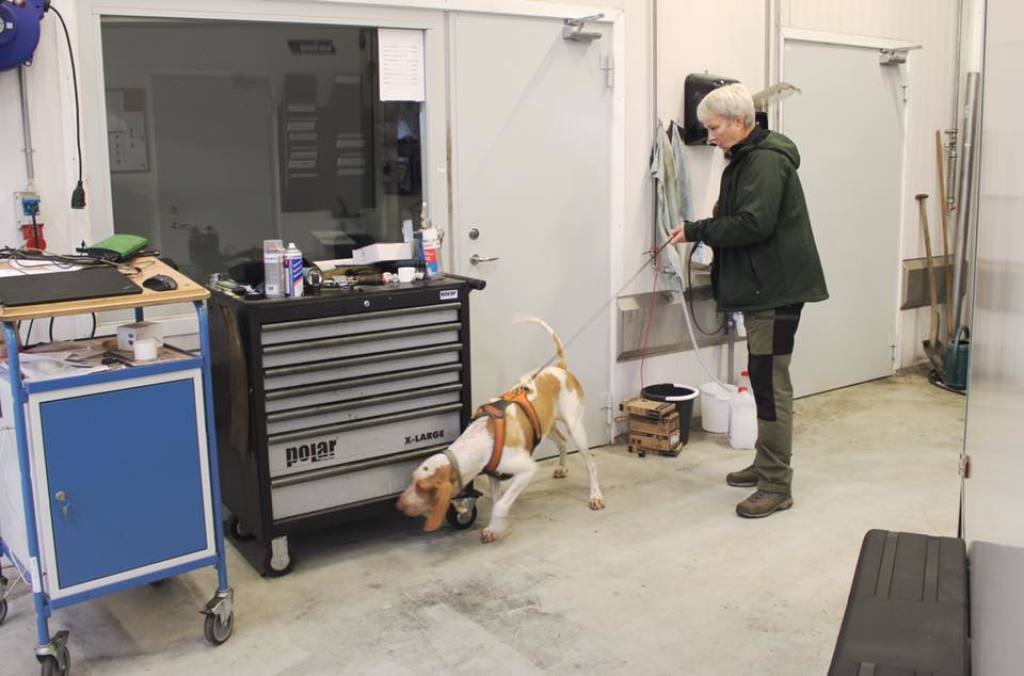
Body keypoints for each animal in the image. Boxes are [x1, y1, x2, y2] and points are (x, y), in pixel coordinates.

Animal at [396, 318, 605, 542]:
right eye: (412, 480)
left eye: (422, 487)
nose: (398, 505)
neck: (479, 438)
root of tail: (560, 369)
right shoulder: (494, 475)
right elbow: (497, 501)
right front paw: (495, 528)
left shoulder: (527, 470)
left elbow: (501, 505)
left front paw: (495, 527)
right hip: (546, 426)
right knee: (562, 441)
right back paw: (562, 467)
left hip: (576, 427)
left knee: (591, 465)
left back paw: (595, 495)